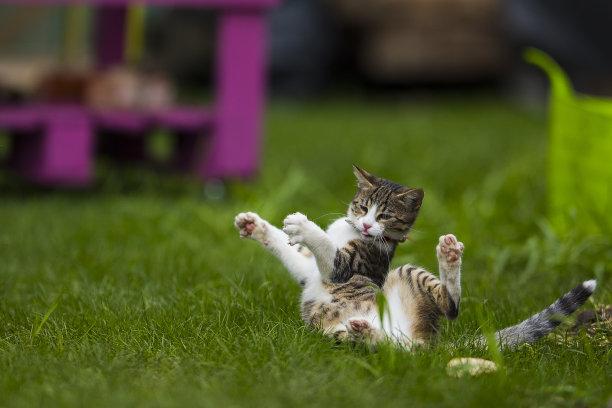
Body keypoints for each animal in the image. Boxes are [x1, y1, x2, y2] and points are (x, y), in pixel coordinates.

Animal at [234, 167, 597, 347]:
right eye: (363, 208)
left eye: (385, 217)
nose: (367, 225)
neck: (355, 234)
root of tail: (429, 348)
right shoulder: (308, 270)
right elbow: (291, 252)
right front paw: (254, 225)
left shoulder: (349, 265)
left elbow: (329, 252)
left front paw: (303, 225)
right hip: (335, 329)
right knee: (382, 346)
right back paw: (363, 330)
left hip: (406, 272)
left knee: (450, 308)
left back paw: (448, 257)